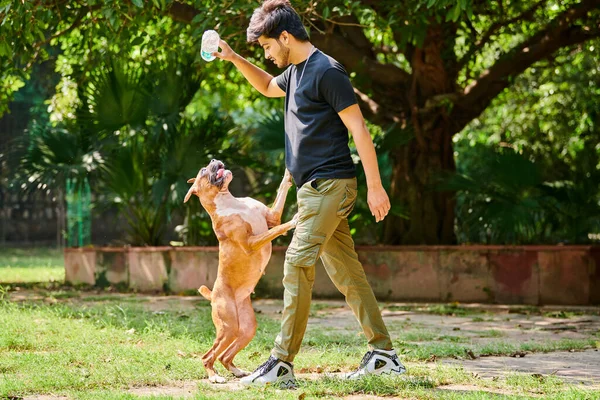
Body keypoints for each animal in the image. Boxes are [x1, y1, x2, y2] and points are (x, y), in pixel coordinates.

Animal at [183, 158, 296, 382]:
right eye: (203, 170)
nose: (213, 159)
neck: (229, 201)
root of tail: (213, 295)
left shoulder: (272, 216)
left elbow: (281, 190)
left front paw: (288, 172)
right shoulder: (251, 242)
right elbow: (280, 228)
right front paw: (296, 219)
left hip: (246, 330)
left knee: (224, 356)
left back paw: (236, 371)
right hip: (228, 328)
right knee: (208, 356)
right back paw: (213, 376)